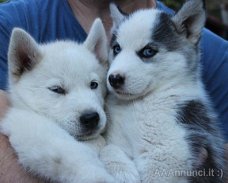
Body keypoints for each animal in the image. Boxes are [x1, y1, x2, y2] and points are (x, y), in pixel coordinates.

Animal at [0, 19, 114, 183]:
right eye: (57, 89)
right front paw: (99, 176)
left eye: (94, 84)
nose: (91, 118)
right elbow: (74, 154)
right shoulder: (27, 124)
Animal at [101, 0, 224, 183]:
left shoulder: (166, 154)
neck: (138, 104)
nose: (114, 79)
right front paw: (122, 171)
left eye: (148, 51)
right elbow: (107, 148)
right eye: (116, 48)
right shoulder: (116, 139)